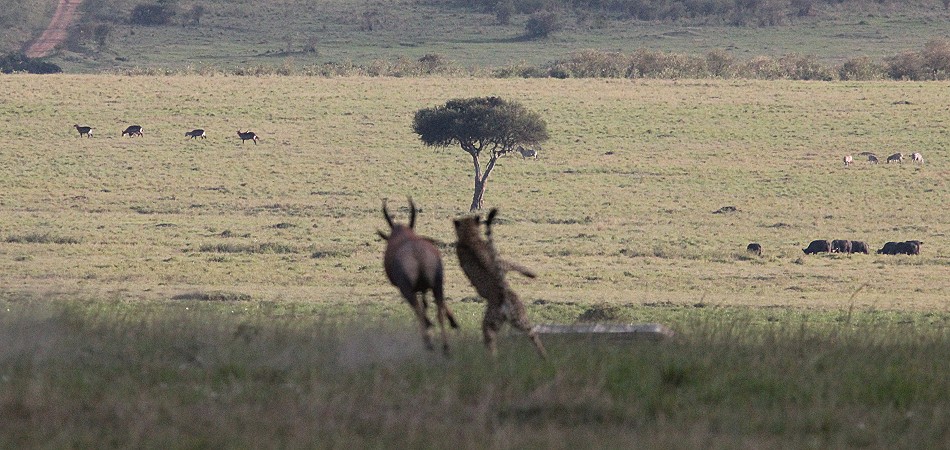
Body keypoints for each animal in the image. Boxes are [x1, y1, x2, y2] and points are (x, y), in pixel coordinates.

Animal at [378, 199, 460, 354]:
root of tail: (416, 251)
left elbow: (421, 309)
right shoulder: (427, 287)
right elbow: (428, 305)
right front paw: (454, 322)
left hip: (407, 289)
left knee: (418, 311)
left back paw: (429, 342)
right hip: (437, 283)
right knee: (438, 309)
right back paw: (445, 346)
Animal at [456, 207, 548, 358]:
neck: (471, 236)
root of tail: (504, 294)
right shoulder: (501, 263)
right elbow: (513, 264)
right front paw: (532, 274)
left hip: (490, 321)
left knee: (489, 339)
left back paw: (492, 358)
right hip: (518, 318)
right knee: (532, 333)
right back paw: (543, 356)